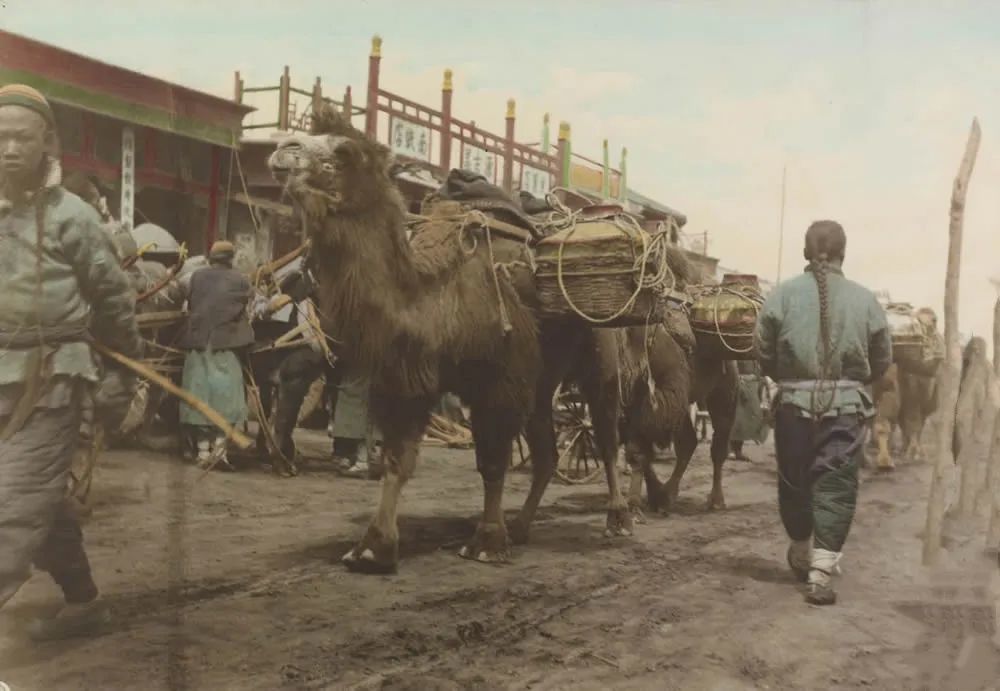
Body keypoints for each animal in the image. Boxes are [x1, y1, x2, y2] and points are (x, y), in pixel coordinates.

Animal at [268, 107, 632, 572]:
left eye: (345, 151)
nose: (284, 148)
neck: (432, 297)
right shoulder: (408, 377)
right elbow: (397, 459)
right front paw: (372, 547)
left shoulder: (499, 377)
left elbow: (492, 462)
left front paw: (487, 542)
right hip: (543, 375)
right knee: (547, 451)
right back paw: (522, 526)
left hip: (600, 348)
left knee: (605, 431)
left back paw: (618, 518)